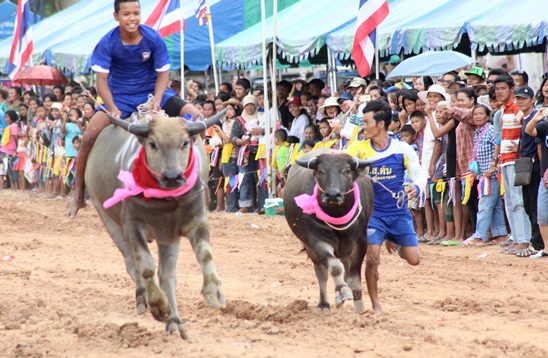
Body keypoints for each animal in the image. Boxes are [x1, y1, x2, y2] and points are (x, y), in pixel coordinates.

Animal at [84, 112, 226, 338]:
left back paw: (175, 322)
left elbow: (205, 255)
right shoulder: (132, 227)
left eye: (185, 142)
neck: (166, 202)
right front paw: (159, 305)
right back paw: (143, 300)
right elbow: (146, 266)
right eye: (153, 144)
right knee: (132, 263)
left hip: (166, 237)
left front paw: (214, 293)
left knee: (167, 276)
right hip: (108, 220)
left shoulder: (195, 221)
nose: (172, 176)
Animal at [282, 150, 372, 312]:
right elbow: (335, 268)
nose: (332, 195)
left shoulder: (361, 243)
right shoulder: (318, 242)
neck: (337, 214)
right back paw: (324, 303)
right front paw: (342, 290)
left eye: (347, 171)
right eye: (321, 171)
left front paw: (360, 309)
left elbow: (354, 279)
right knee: (321, 272)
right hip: (310, 248)